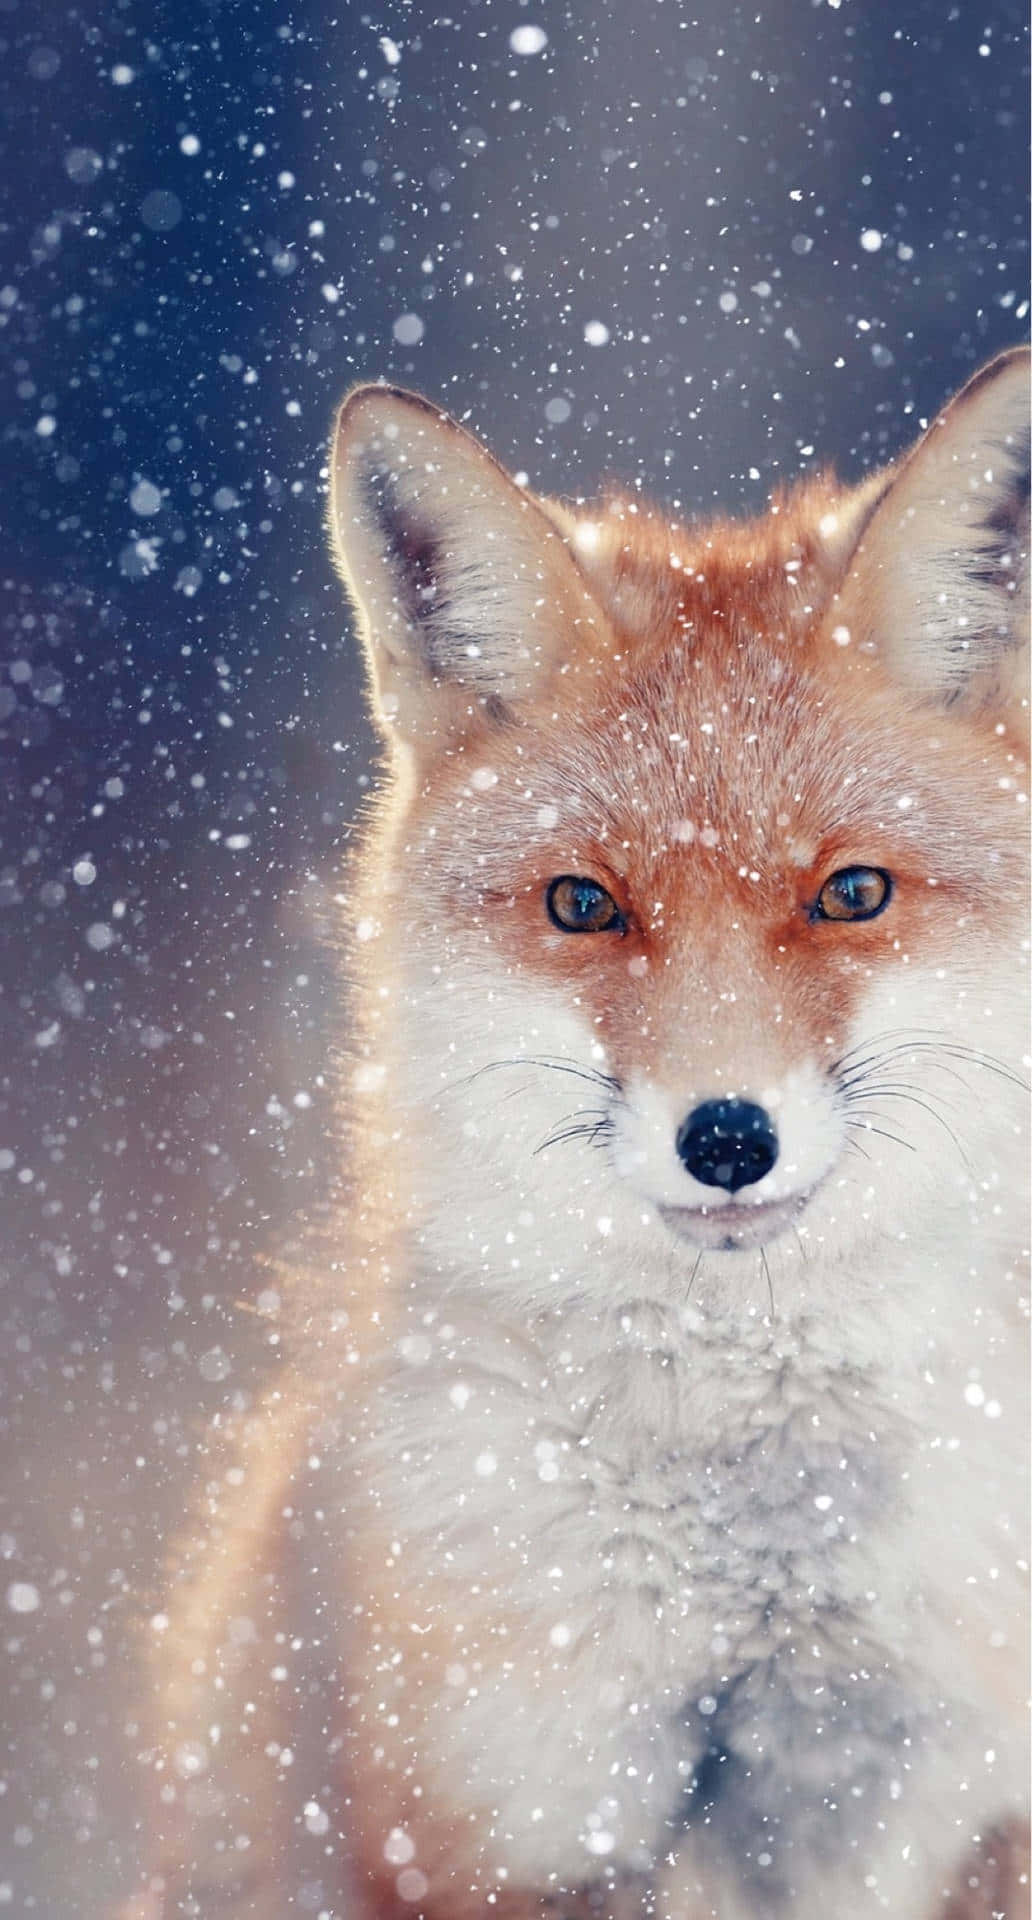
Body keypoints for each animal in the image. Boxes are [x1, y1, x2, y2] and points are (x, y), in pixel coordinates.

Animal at [122, 347, 1030, 1920]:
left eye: (852, 894)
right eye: (584, 906)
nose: (726, 1139)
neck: (754, 1558)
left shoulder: (934, 1805)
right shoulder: (496, 1826)